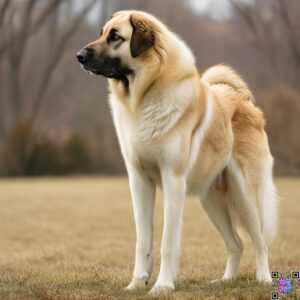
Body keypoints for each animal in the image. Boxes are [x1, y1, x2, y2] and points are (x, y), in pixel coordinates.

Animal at [76, 9, 278, 292]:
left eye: (115, 36)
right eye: (102, 33)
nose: (79, 56)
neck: (145, 94)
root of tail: (244, 102)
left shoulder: (173, 180)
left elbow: (167, 242)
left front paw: (162, 286)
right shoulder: (139, 181)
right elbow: (143, 240)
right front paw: (137, 283)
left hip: (245, 194)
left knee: (260, 240)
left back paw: (263, 279)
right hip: (211, 200)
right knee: (236, 242)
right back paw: (225, 280)